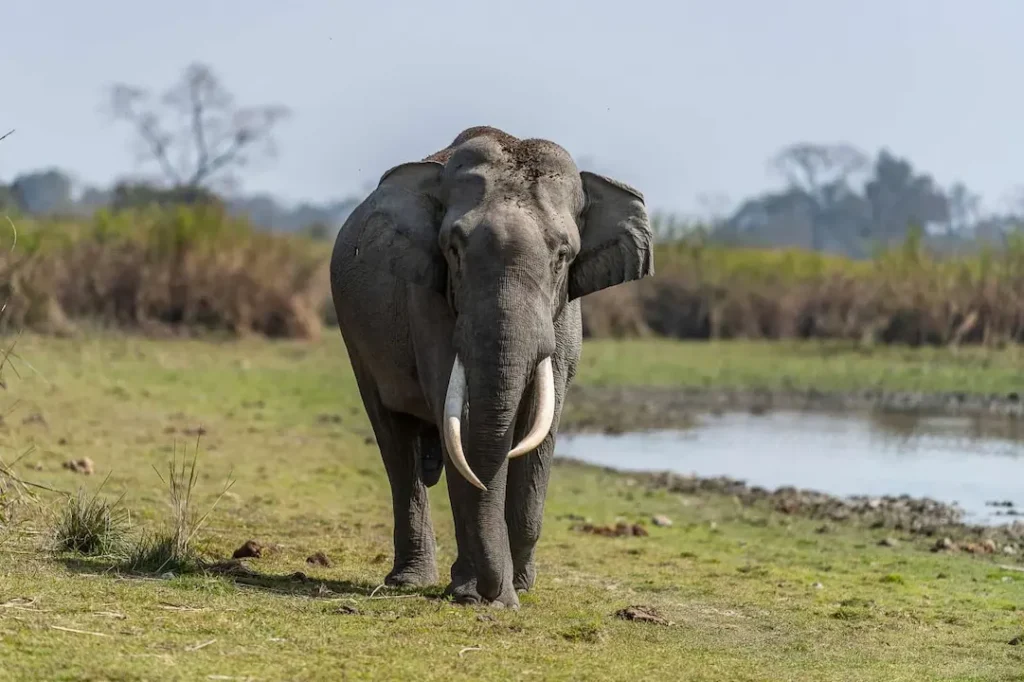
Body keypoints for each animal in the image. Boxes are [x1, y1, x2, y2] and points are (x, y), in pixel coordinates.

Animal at [331, 124, 655, 602]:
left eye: (563, 256)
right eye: (453, 249)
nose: (496, 594)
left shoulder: (565, 315)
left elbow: (542, 425)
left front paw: (516, 588)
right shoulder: (428, 301)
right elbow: (461, 423)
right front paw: (480, 595)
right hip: (354, 334)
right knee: (394, 438)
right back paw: (410, 580)